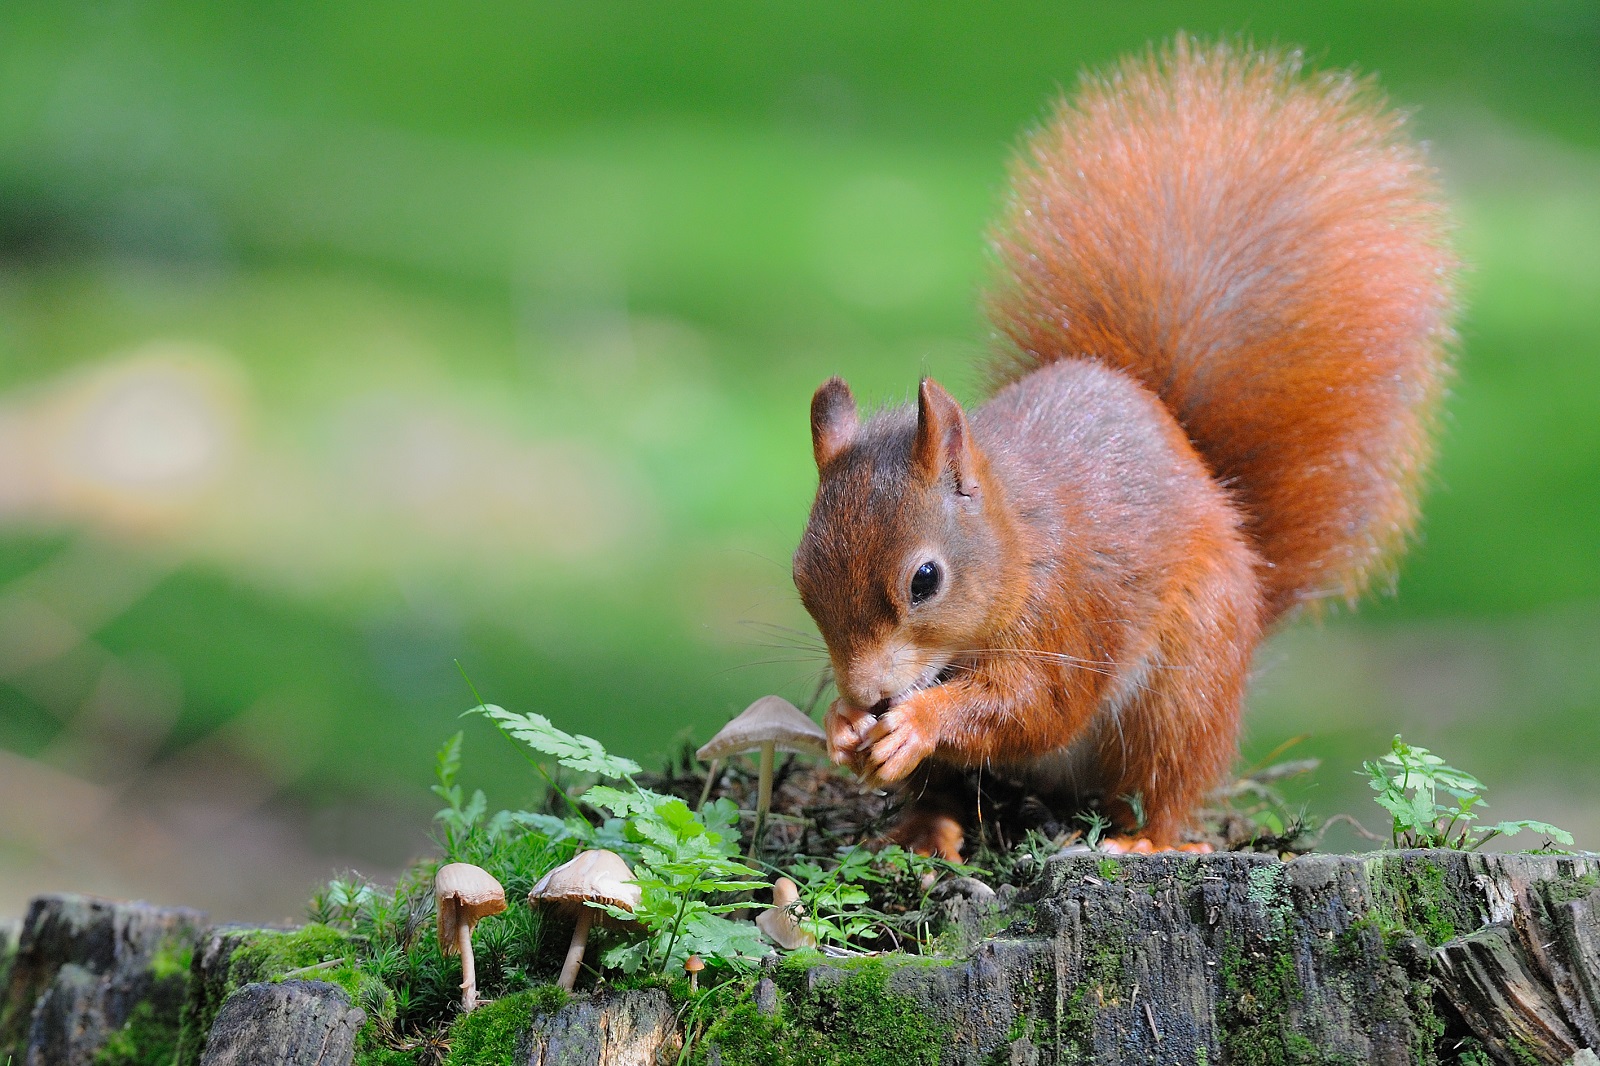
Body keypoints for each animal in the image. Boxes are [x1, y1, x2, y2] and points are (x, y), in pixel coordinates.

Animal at [793, 37, 1459, 857]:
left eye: (925, 580)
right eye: (801, 578)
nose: (866, 694)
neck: (1018, 543)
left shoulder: (1069, 612)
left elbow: (1035, 703)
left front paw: (915, 720)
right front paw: (842, 725)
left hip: (1184, 688)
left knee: (1166, 779)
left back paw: (1145, 839)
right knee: (950, 791)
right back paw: (924, 829)